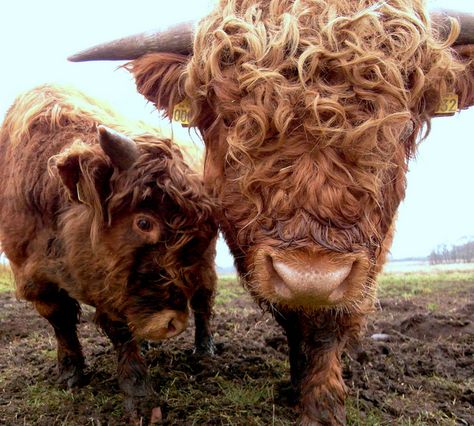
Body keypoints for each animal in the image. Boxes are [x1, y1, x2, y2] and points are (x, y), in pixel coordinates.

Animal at [0, 84, 218, 420]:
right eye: (144, 222)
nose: (171, 324)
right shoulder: (31, 274)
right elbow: (61, 320)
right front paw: (70, 373)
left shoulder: (113, 288)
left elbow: (120, 332)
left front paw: (140, 398)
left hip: (205, 266)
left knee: (203, 300)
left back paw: (204, 351)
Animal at [68, 1, 474, 424]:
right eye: (229, 118)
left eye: (403, 124)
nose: (311, 277)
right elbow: (294, 320)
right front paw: (298, 383)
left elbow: (327, 328)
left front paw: (322, 406)